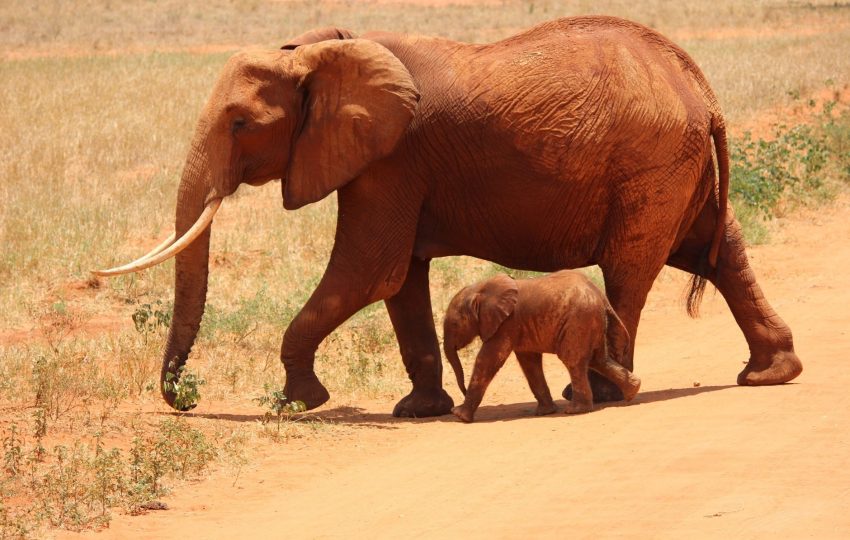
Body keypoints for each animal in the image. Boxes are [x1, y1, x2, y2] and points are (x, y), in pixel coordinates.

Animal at [443, 271, 641, 423]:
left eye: (454, 324)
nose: (463, 391)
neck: (481, 289)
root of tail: (601, 297)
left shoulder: (506, 324)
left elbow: (488, 360)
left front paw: (459, 416)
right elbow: (529, 363)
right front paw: (546, 412)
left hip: (579, 322)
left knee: (574, 361)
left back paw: (576, 410)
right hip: (591, 322)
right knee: (599, 360)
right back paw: (633, 392)